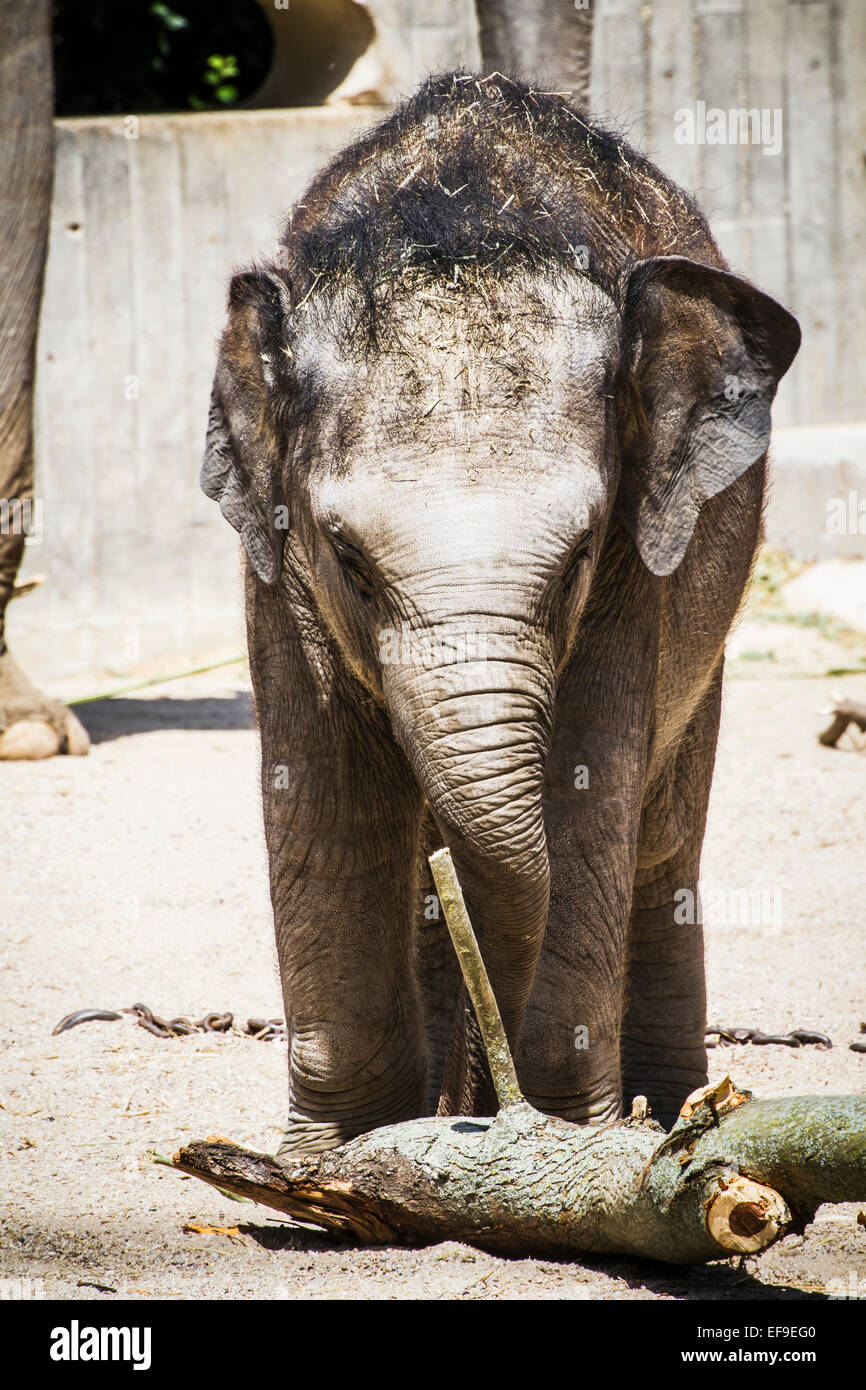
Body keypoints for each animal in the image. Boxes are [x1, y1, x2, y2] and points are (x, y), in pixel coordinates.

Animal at [202, 72, 800, 1153]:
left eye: (573, 563)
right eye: (349, 563)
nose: (491, 1105)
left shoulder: (633, 566)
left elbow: (578, 794)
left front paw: (566, 1140)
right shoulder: (277, 569)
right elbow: (327, 795)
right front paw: (336, 1158)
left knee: (658, 842)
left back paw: (665, 1109)